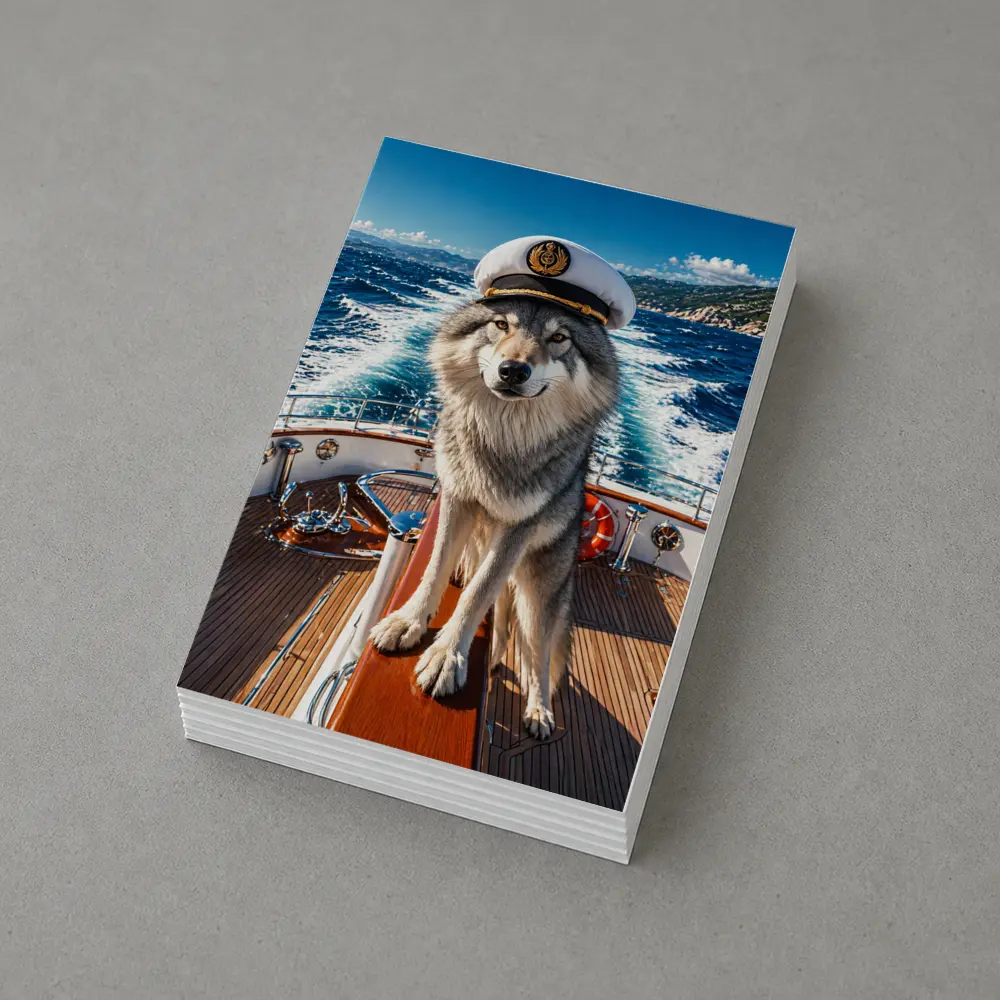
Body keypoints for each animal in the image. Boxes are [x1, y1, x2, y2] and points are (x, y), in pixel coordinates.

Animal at [368, 296, 620, 738]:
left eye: (560, 337)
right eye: (502, 324)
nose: (513, 370)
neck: (503, 440)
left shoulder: (520, 527)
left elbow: (478, 592)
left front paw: (447, 656)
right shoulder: (456, 496)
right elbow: (435, 567)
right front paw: (408, 622)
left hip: (537, 597)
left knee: (536, 658)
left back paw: (538, 713)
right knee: (501, 625)